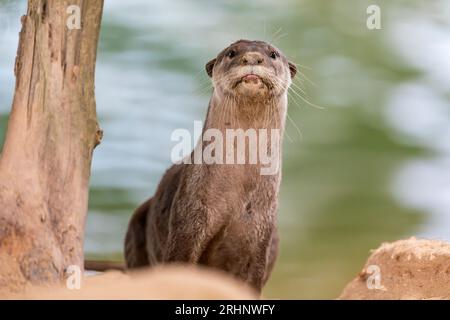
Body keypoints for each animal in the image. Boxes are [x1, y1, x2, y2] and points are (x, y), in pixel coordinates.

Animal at [125, 38, 298, 292]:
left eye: (273, 54)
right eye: (232, 52)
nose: (252, 57)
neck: (237, 196)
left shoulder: (260, 238)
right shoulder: (188, 220)